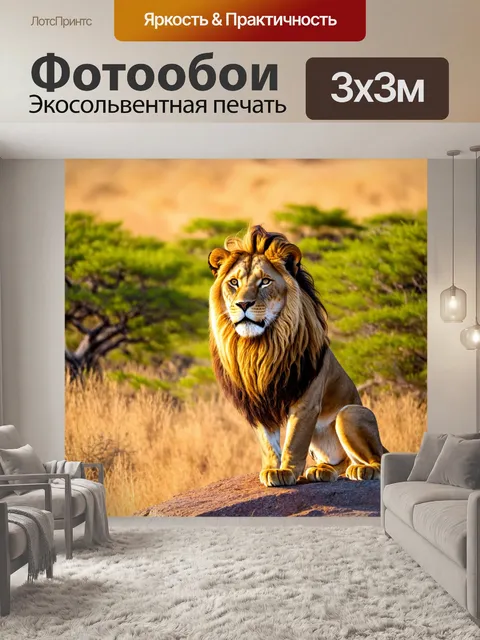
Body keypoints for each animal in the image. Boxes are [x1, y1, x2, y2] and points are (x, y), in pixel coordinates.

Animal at [208, 224, 386, 488]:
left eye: (265, 282)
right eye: (233, 282)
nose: (243, 304)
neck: (259, 348)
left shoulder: (306, 400)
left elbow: (294, 440)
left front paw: (286, 472)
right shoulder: (258, 400)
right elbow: (268, 442)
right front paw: (271, 469)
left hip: (350, 413)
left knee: (377, 458)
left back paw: (363, 470)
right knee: (340, 463)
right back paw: (322, 470)